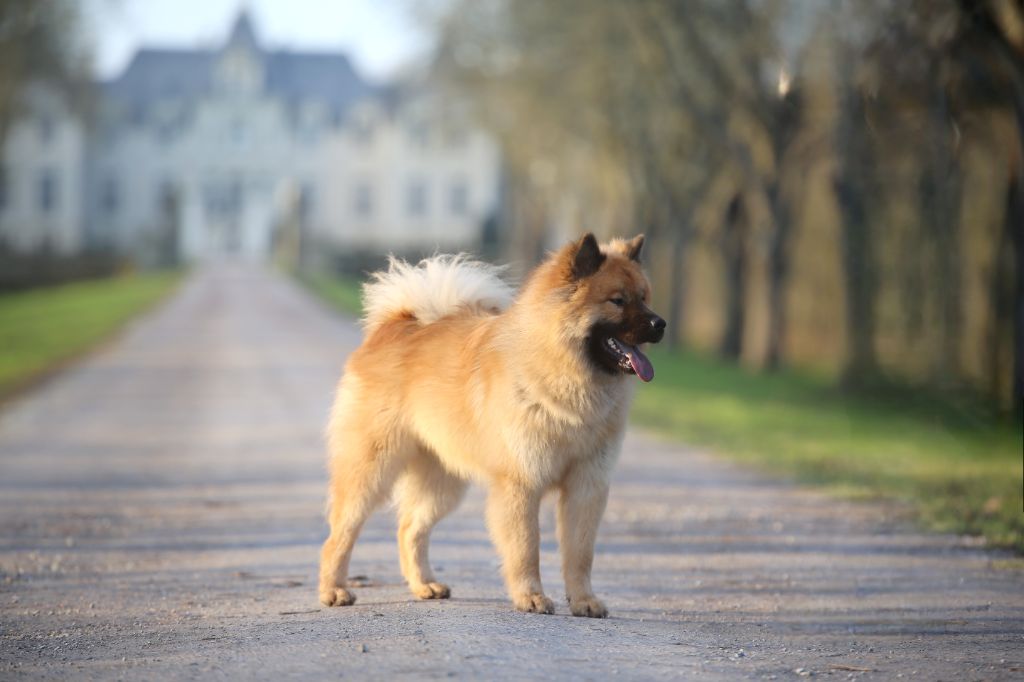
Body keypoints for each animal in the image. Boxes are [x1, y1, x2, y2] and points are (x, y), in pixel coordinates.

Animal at [321, 233, 671, 614]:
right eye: (618, 301)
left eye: (644, 297)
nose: (661, 324)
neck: (564, 377)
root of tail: (394, 325)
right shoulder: (522, 483)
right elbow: (526, 548)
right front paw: (531, 596)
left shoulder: (586, 485)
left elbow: (580, 553)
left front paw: (584, 601)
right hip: (371, 470)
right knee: (340, 534)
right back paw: (333, 590)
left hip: (442, 482)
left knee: (410, 528)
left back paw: (424, 585)